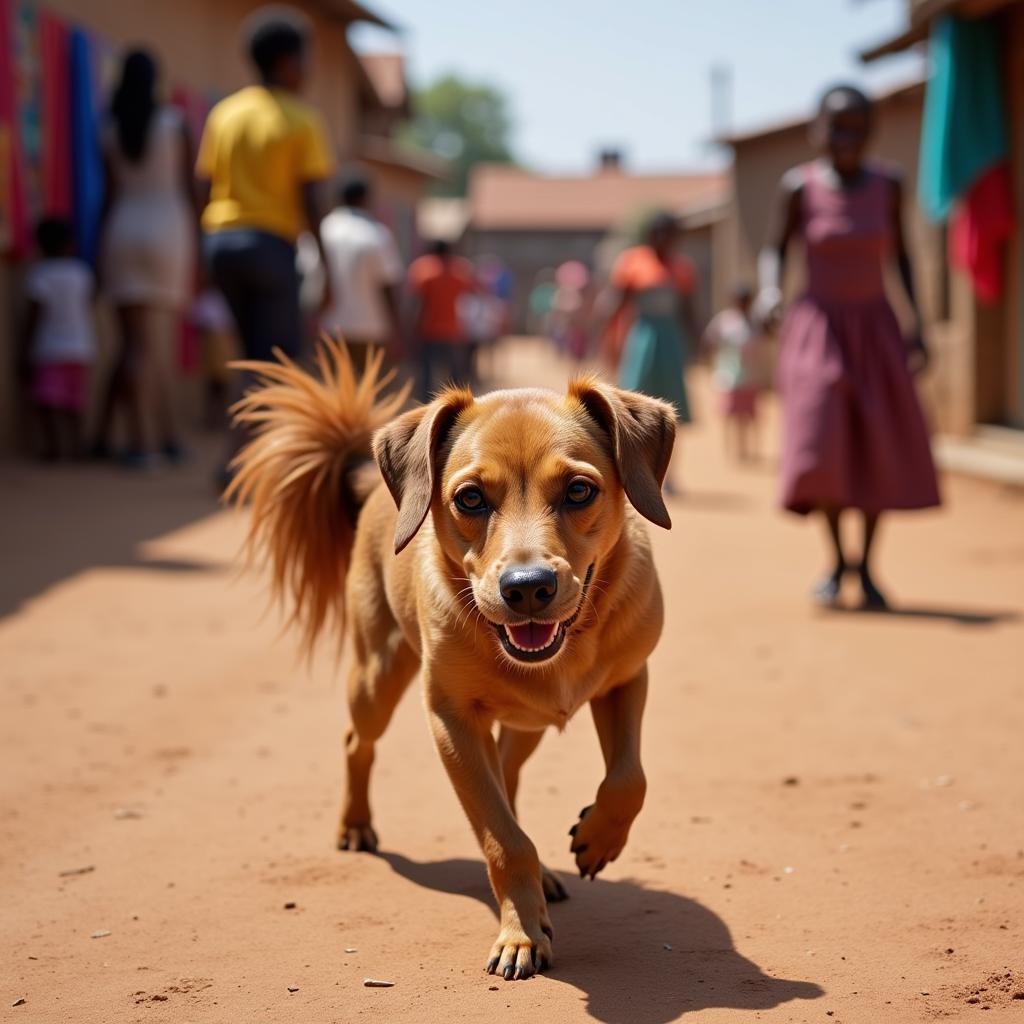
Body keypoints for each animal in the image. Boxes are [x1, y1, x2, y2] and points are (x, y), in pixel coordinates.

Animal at [229, 344, 675, 983]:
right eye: (469, 498)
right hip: (376, 678)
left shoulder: (628, 679)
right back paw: (355, 825)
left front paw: (597, 838)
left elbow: (628, 778)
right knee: (357, 742)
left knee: (509, 777)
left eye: (578, 491)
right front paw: (520, 934)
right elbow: (503, 839)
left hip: (523, 727)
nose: (527, 587)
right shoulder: (452, 722)